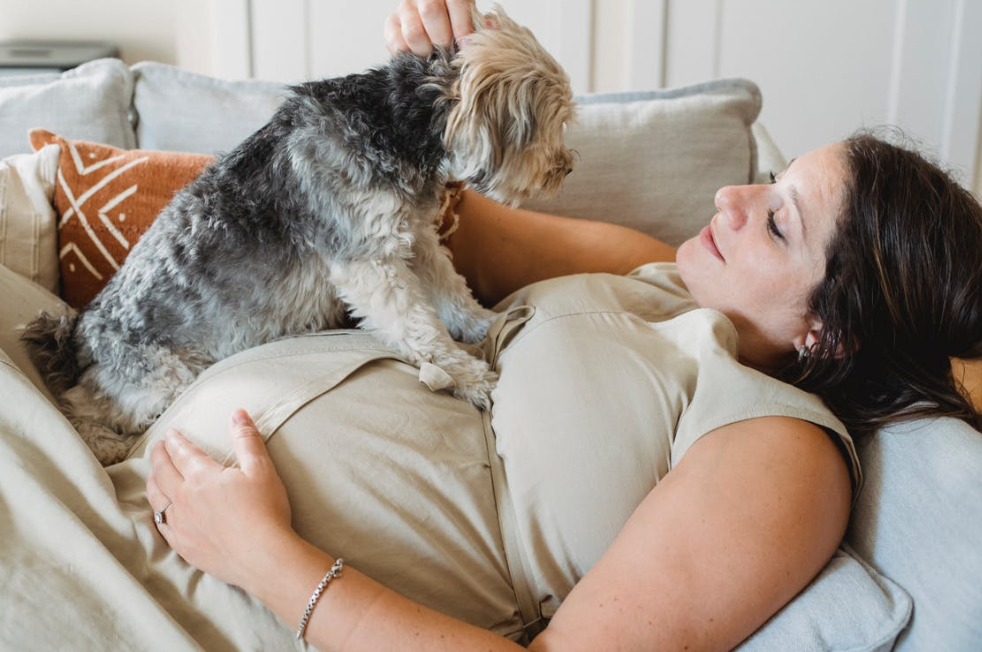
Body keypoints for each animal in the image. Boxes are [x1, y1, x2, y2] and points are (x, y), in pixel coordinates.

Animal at [21, 3, 576, 464]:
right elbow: (422, 328)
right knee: (79, 405)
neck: (394, 123)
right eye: (555, 122)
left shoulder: (416, 240)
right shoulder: (369, 261)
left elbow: (453, 294)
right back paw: (104, 445)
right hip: (159, 378)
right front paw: (467, 376)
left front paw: (485, 324)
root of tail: (78, 332)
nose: (566, 168)